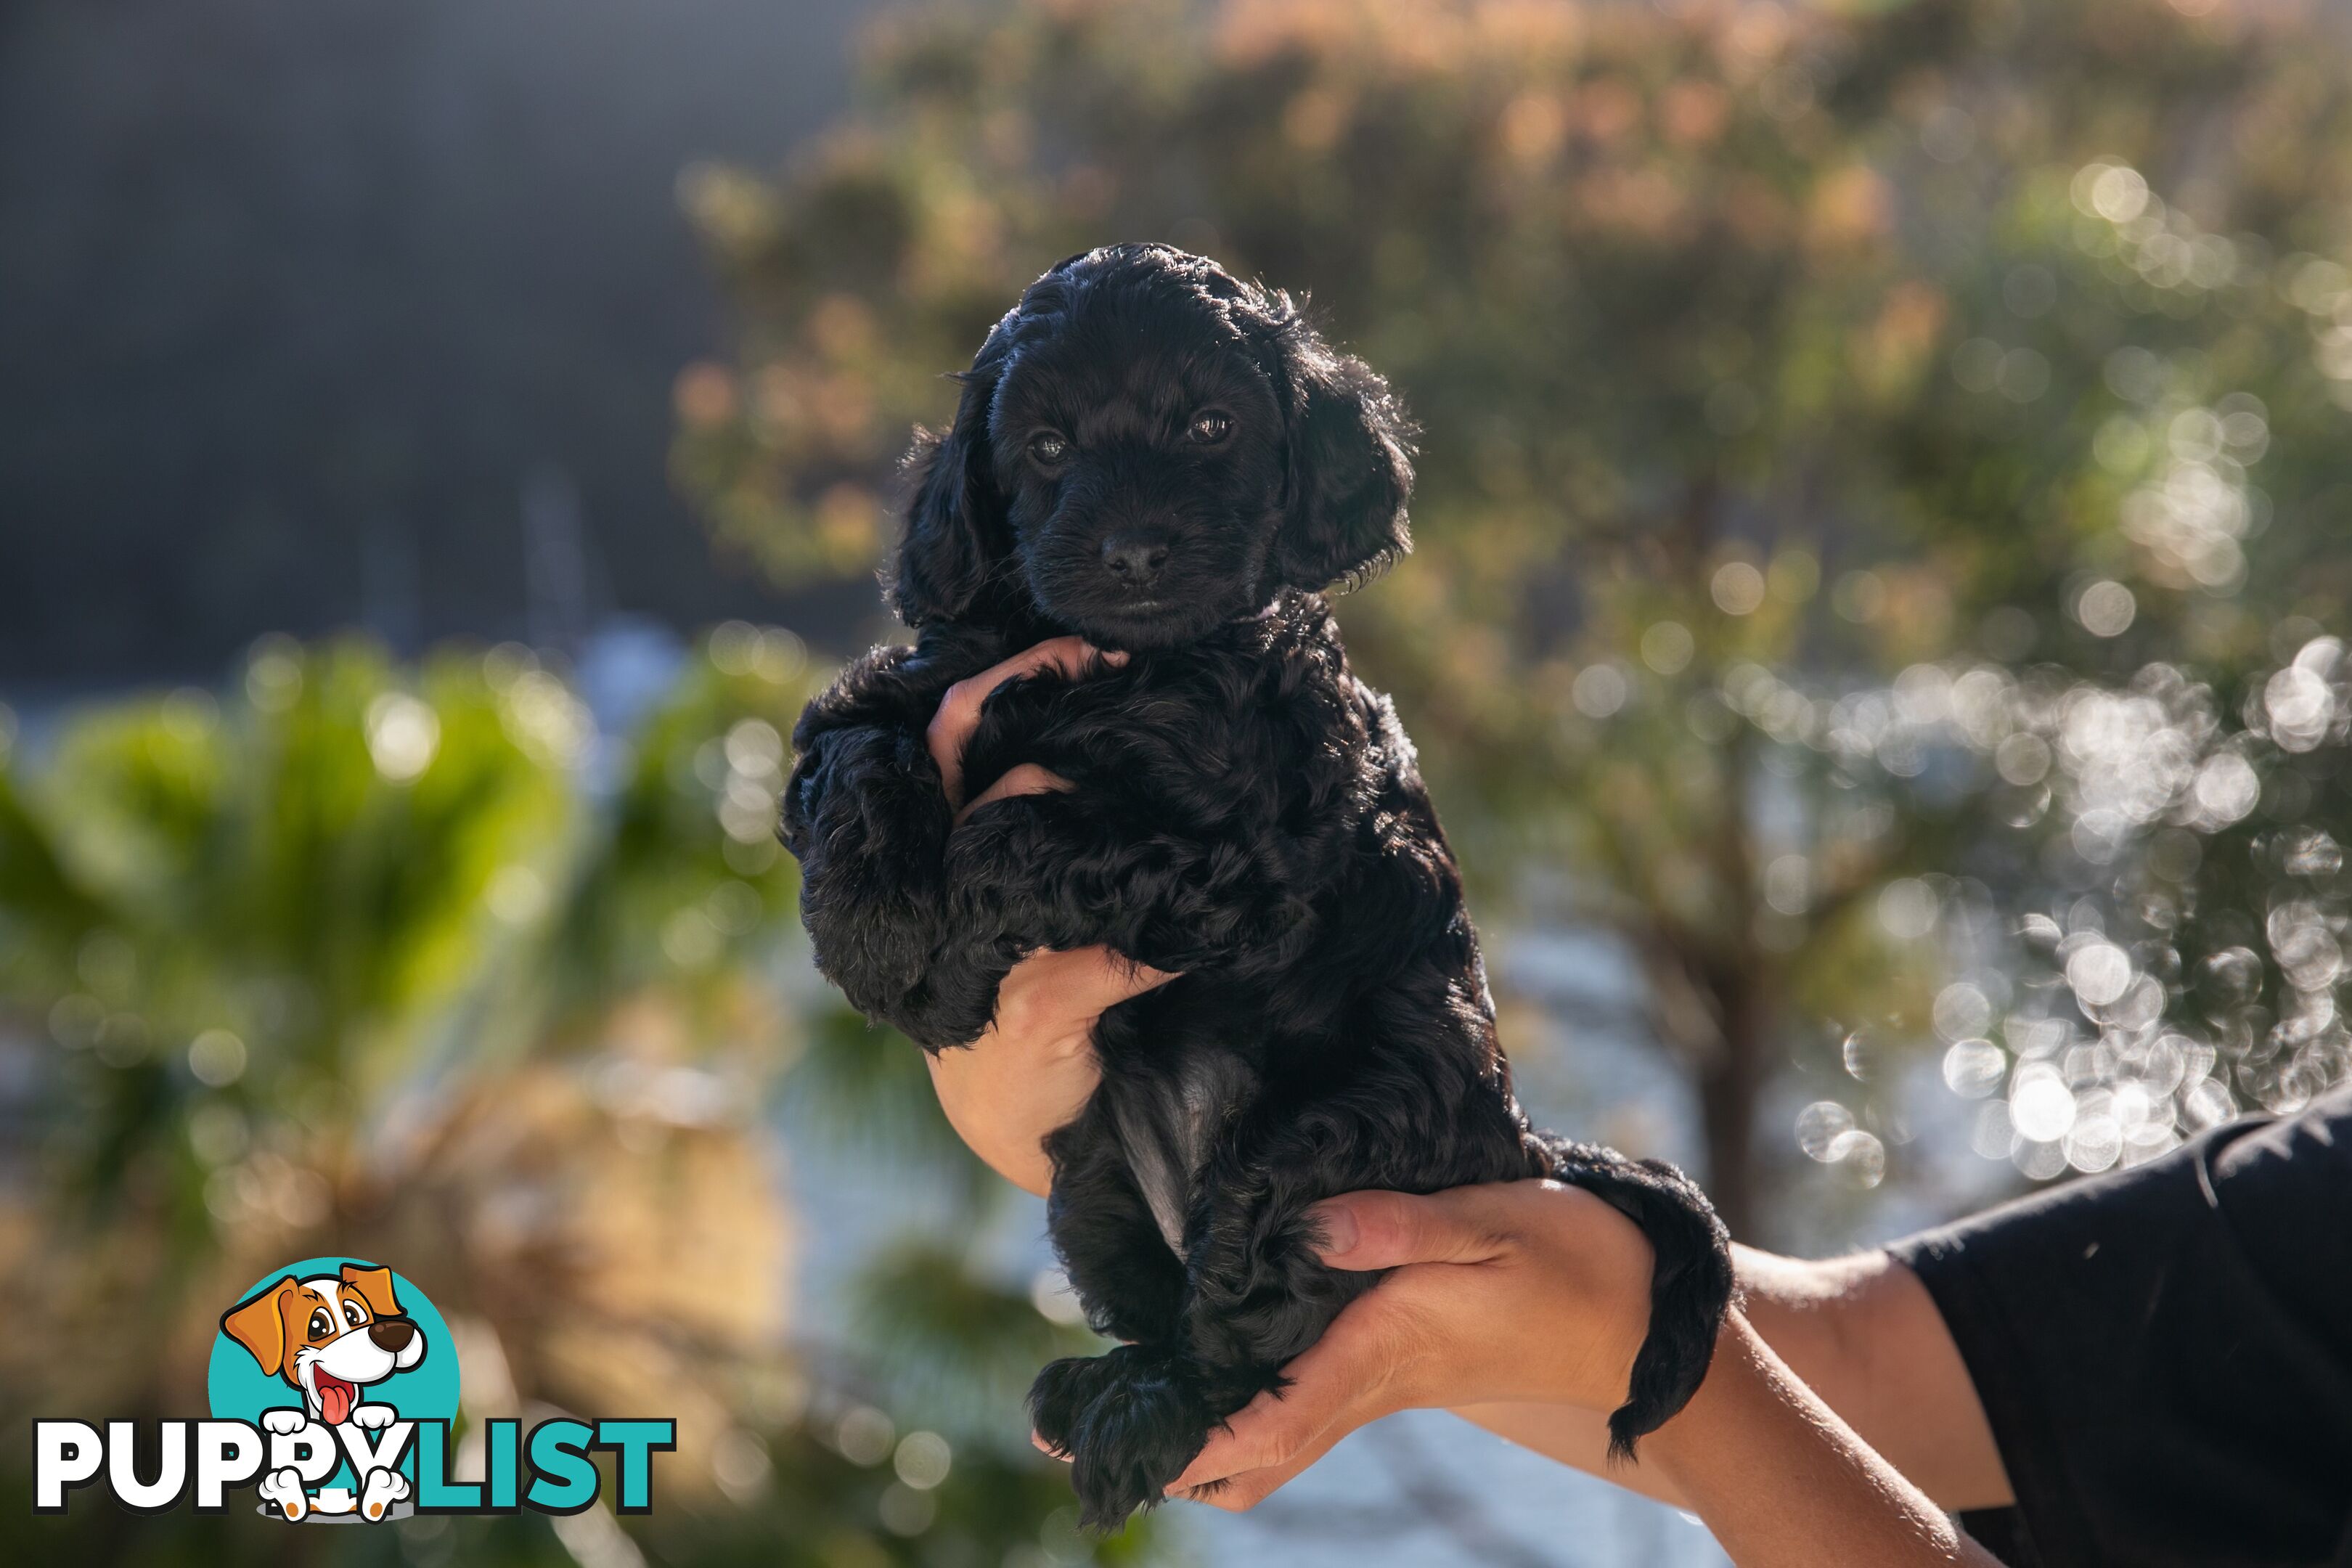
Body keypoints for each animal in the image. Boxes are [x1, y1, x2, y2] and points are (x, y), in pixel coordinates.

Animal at [785, 248, 1731, 1532]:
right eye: (1046, 447)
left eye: (1211, 426)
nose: (1135, 551)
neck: (1133, 659)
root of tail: (1519, 1143)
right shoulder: (929, 678)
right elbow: (855, 754)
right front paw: (876, 933)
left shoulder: (1249, 865)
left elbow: (1014, 841)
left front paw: (939, 976)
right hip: (1092, 1183)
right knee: (1157, 1288)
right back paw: (1111, 1384)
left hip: (1328, 1140)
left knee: (1244, 1308)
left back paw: (1148, 1417)